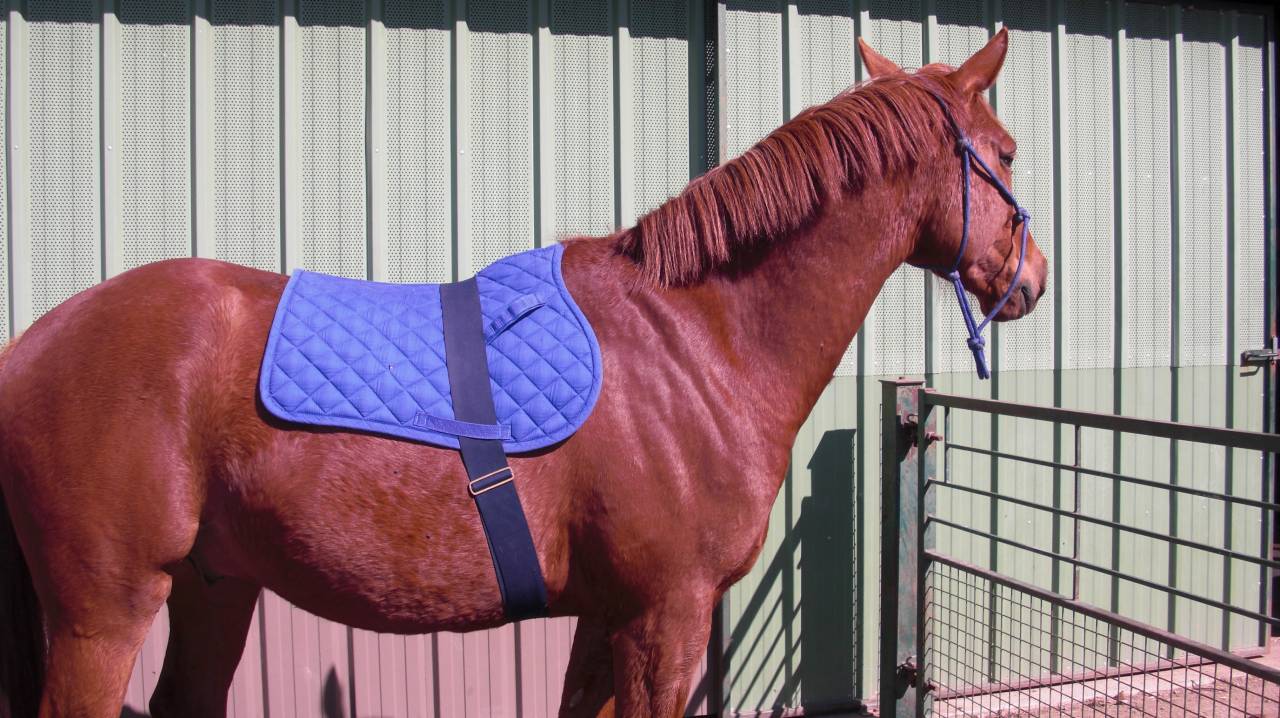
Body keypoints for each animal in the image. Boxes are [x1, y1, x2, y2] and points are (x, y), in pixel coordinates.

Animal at [0, 30, 1045, 718]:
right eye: (1004, 152)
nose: (1032, 280)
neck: (694, 339)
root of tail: (32, 344)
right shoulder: (665, 619)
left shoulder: (608, 618)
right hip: (104, 617)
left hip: (214, 585)